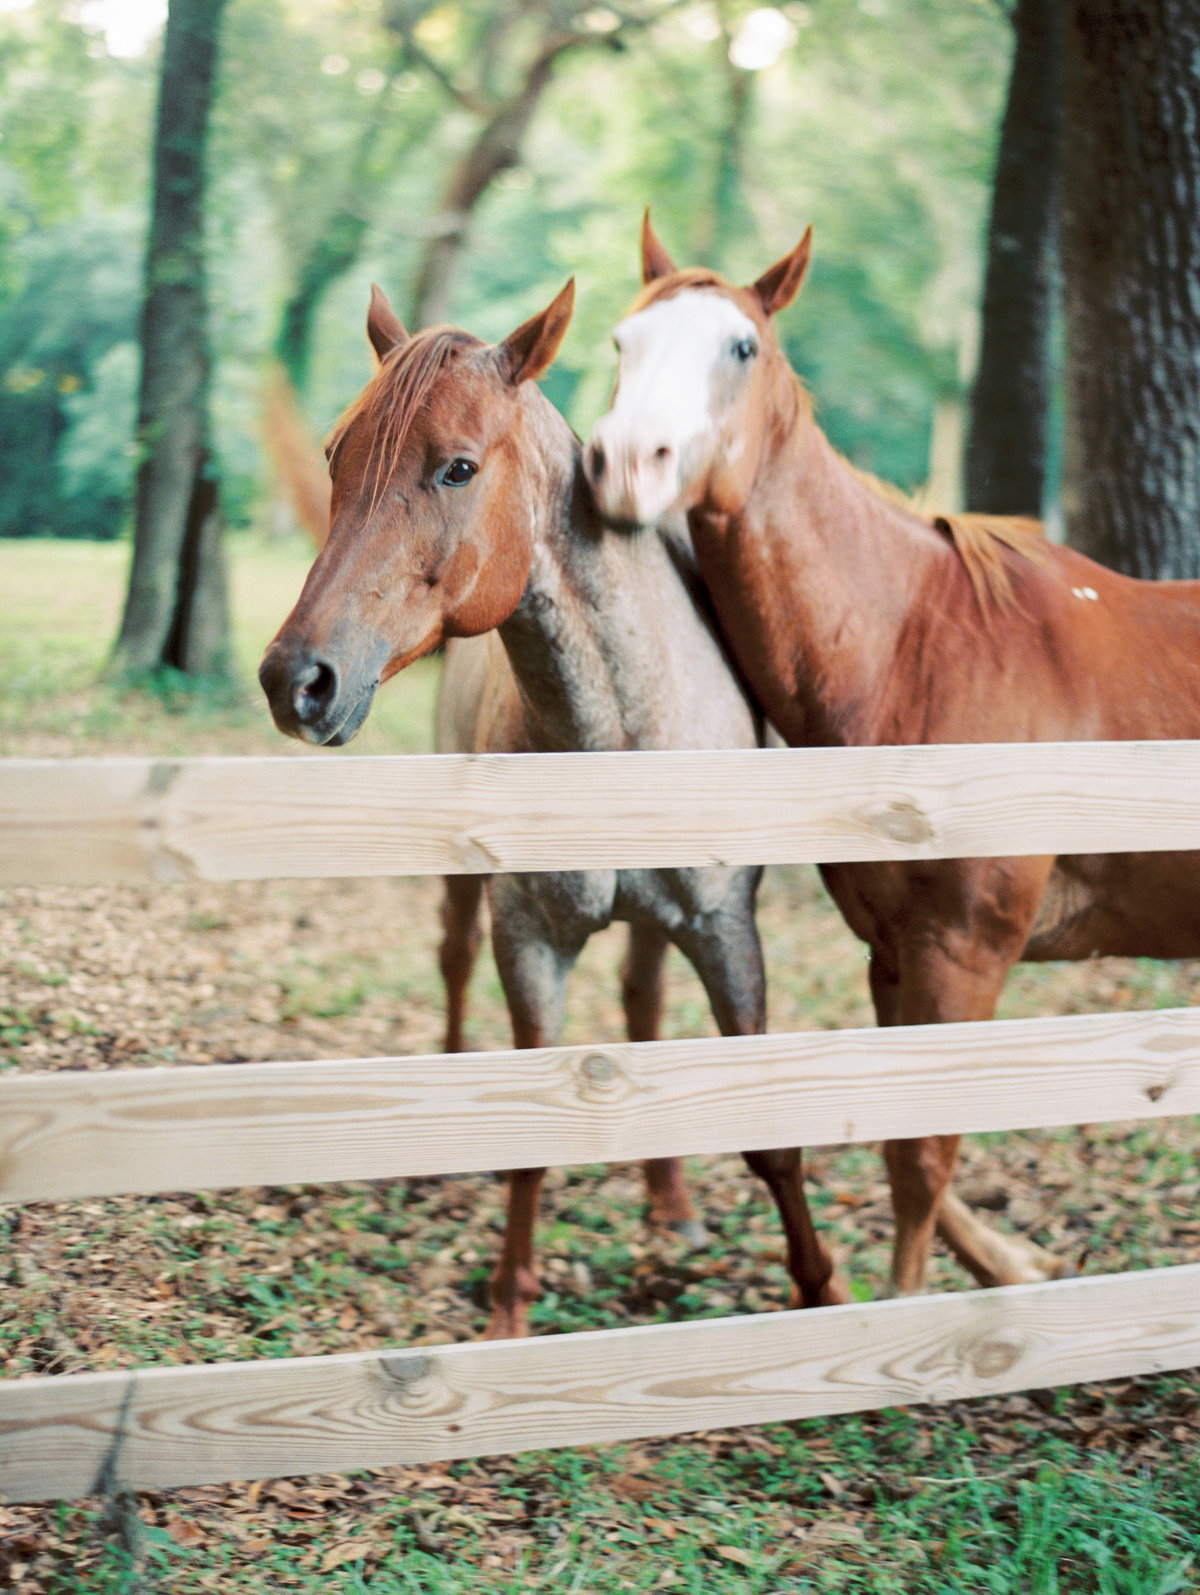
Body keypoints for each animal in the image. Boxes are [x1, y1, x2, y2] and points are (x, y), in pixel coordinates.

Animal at [260, 277, 855, 1333]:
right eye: (335, 454)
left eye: (458, 467)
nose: (298, 679)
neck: (614, 727)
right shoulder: (527, 939)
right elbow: (530, 1128)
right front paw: (508, 1308)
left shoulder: (726, 930)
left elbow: (767, 1133)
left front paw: (821, 1286)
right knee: (453, 964)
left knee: (643, 1003)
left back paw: (669, 1200)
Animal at [590, 218, 1200, 1295]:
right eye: (625, 343)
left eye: (741, 347)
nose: (627, 462)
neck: (920, 642)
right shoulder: (892, 951)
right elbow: (898, 1134)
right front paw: (1008, 1265)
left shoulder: (964, 950)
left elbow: (923, 1155)